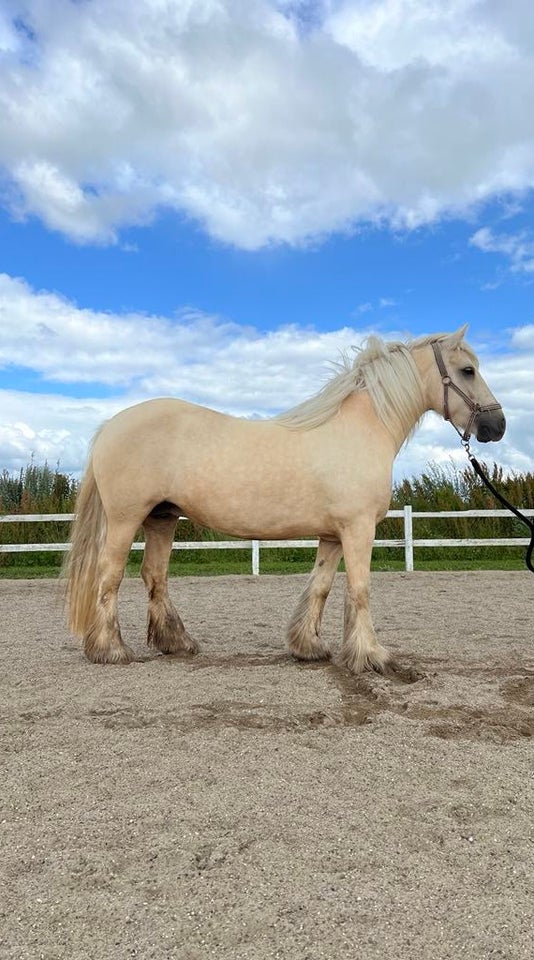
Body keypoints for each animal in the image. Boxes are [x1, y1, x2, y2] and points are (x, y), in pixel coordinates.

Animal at [66, 326, 506, 672]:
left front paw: (309, 647)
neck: (361, 429)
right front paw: (372, 656)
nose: (497, 425)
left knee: (154, 575)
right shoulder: (359, 529)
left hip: (162, 518)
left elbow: (322, 586)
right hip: (126, 519)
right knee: (110, 575)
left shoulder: (333, 535)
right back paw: (110, 650)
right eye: (467, 370)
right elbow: (360, 589)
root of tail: (112, 425)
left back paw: (177, 643)